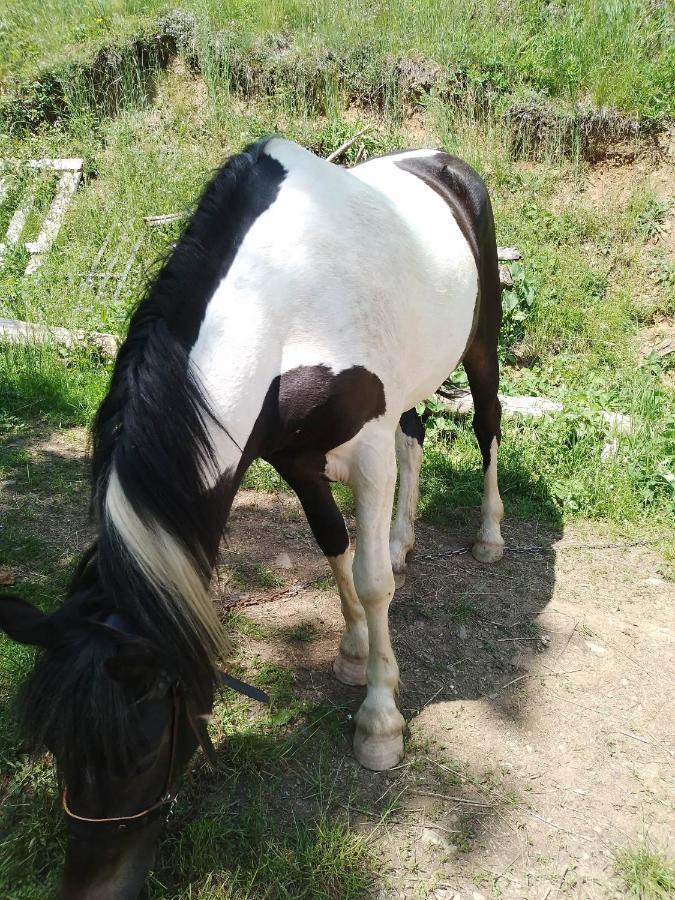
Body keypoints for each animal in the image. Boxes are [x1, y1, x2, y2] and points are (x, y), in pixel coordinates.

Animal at [0, 137, 504, 896]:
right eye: (59, 748)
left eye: (141, 751)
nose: (90, 889)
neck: (281, 304)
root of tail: (441, 160)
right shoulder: (294, 459)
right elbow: (334, 548)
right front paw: (352, 652)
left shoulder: (366, 450)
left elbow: (370, 581)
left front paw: (380, 721)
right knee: (416, 433)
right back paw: (402, 539)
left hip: (482, 344)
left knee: (487, 425)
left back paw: (489, 536)